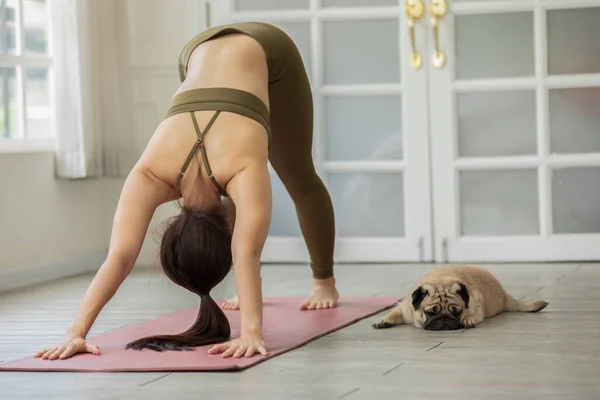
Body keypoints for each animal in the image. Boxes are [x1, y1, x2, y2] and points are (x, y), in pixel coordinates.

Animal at [370, 266, 548, 332]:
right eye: (430, 313)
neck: (439, 281)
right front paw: (383, 320)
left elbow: (472, 314)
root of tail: (504, 295)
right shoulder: (404, 308)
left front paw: (467, 320)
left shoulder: (477, 304)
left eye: (457, 312)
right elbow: (393, 313)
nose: (444, 319)